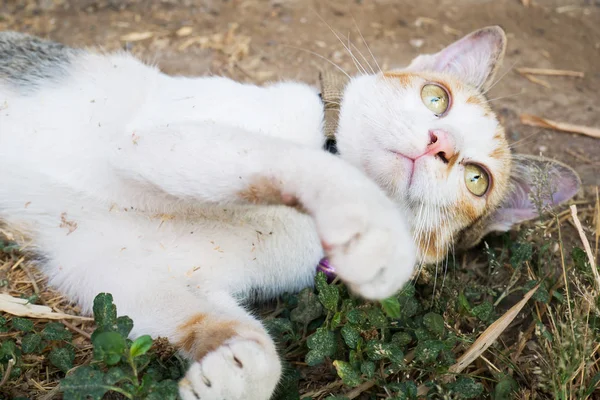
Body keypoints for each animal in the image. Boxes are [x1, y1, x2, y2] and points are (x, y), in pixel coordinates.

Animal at [1, 25, 580, 400]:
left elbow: (221, 329)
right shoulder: (152, 139)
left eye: (477, 179)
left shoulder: (122, 270)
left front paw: (235, 370)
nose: (441, 144)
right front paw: (363, 214)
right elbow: (281, 160)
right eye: (436, 97)